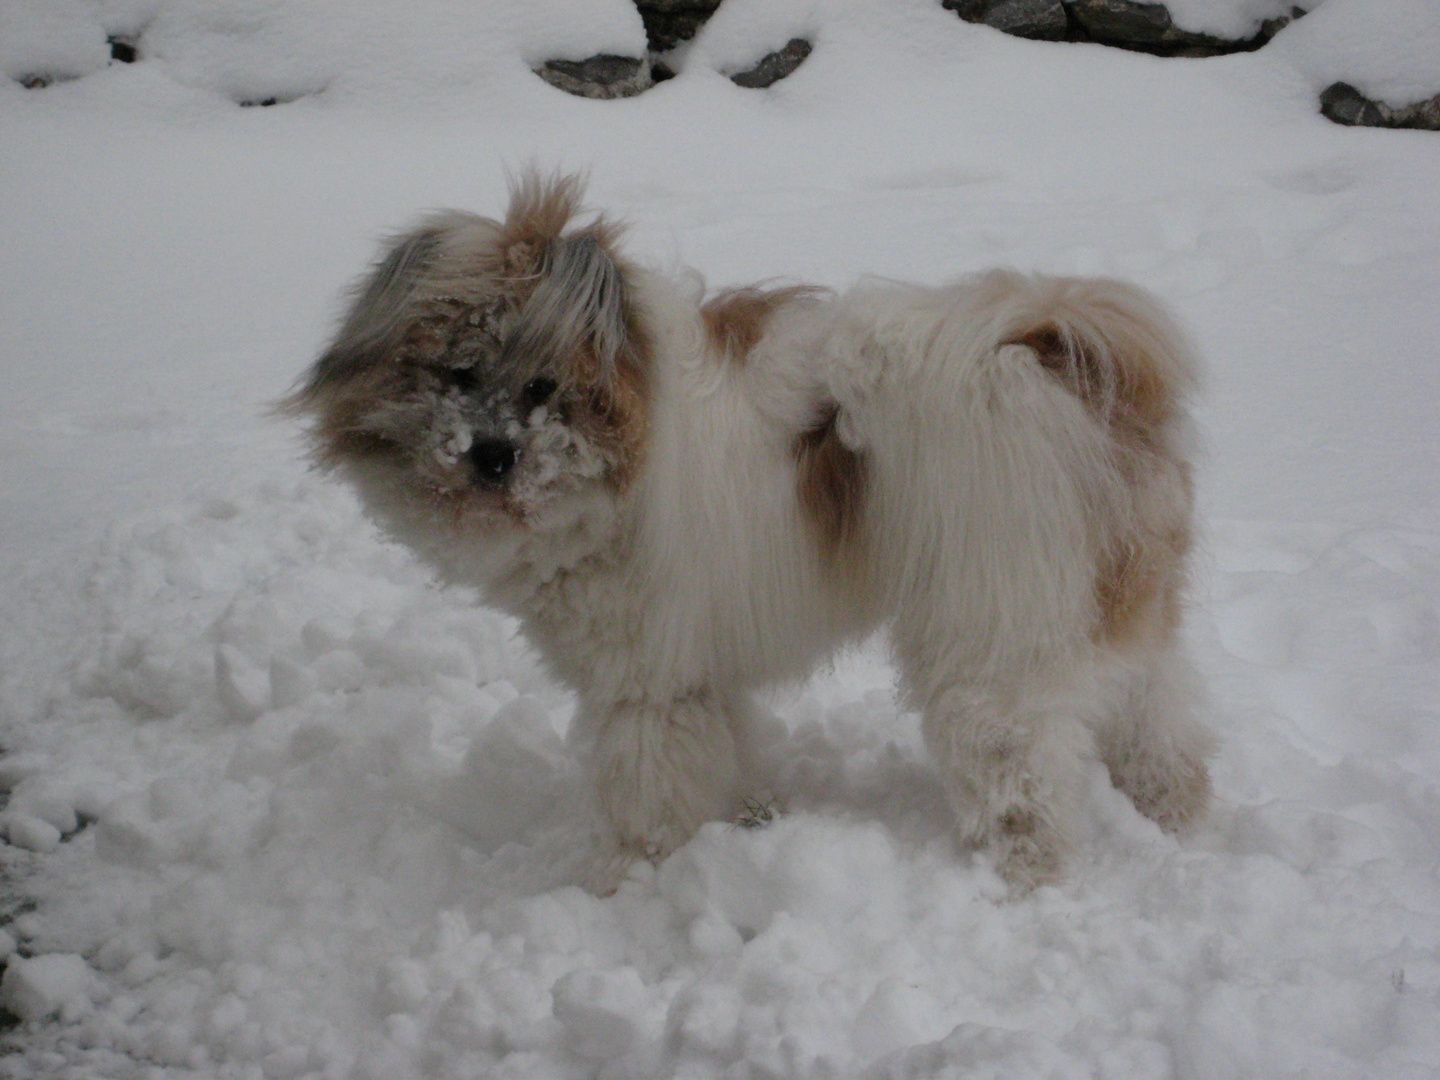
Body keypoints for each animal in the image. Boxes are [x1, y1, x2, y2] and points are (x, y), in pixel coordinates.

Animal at [277, 171, 1203, 898]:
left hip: (995, 639)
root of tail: (1040, 352)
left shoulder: (648, 685)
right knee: (1158, 720)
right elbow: (720, 758)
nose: (491, 455)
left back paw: (1021, 879)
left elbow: (648, 797)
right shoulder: (701, 673)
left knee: (1022, 777)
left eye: (544, 386)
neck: (627, 448)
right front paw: (742, 826)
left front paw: (623, 885)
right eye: (458, 373)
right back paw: (1173, 812)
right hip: (1118, 612)